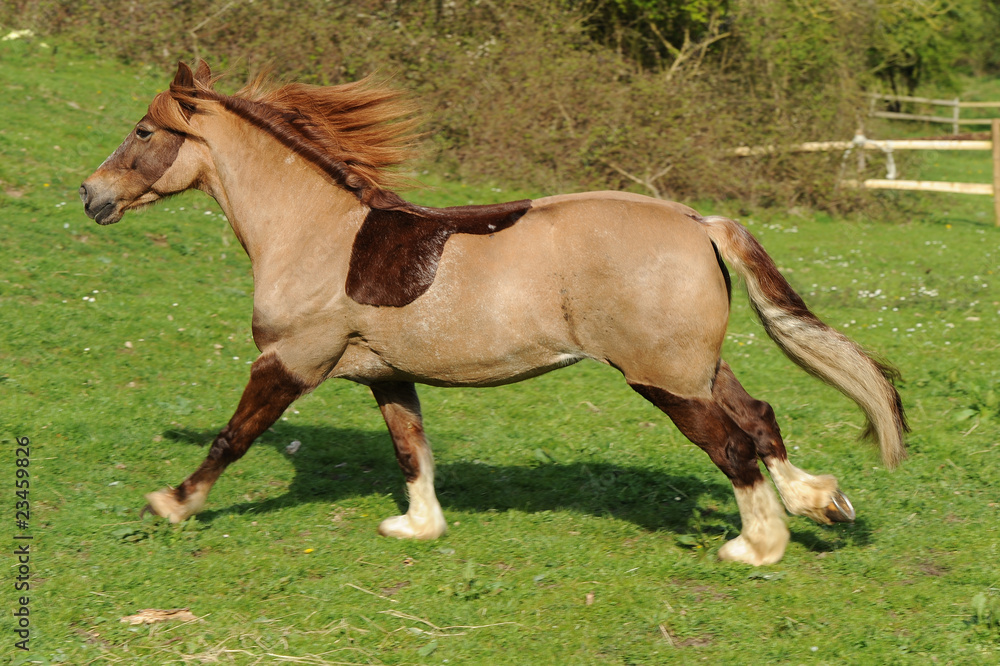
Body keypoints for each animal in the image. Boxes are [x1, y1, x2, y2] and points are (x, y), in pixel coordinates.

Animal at [80, 62, 908, 564]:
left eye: (144, 131)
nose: (91, 195)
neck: (314, 231)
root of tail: (699, 223)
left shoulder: (289, 361)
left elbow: (233, 438)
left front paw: (172, 503)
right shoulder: (384, 375)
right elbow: (411, 452)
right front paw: (417, 527)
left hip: (662, 379)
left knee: (733, 445)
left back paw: (755, 546)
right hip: (694, 367)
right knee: (761, 420)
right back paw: (822, 502)